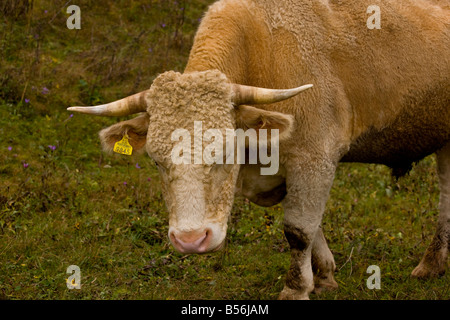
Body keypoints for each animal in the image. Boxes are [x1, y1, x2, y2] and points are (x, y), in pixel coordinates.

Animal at [67, 0, 450, 300]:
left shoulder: (314, 156)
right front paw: (324, 276)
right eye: (157, 162)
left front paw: (296, 288)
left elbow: (299, 229)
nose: (190, 240)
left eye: (223, 153)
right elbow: (314, 224)